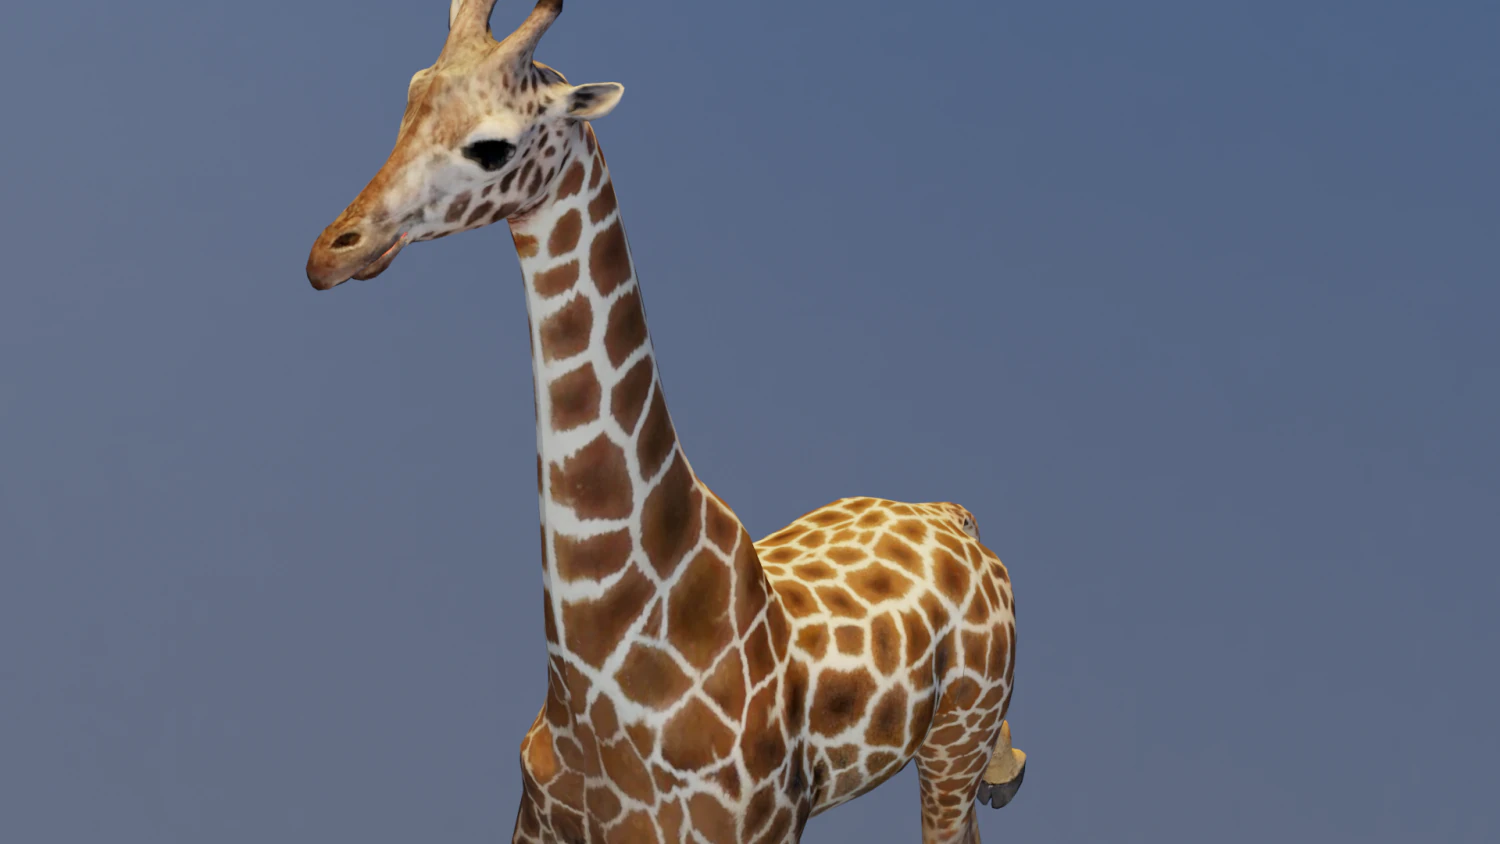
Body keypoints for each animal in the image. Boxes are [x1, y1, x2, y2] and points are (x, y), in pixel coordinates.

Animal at [304, 3, 1025, 842]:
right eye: (410, 97)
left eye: (493, 147)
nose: (331, 252)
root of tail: (954, 517)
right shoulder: (538, 821)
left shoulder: (757, 826)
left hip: (956, 741)